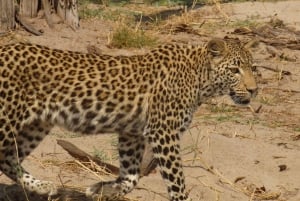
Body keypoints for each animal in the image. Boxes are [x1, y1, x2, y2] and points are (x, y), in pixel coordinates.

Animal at [0, 37, 258, 199]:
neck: (200, 80)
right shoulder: (164, 133)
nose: (254, 90)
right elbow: (176, 181)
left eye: (253, 68)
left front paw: (99, 190)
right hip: (6, 120)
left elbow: (131, 176)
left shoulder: (131, 133)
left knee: (8, 159)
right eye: (234, 70)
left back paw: (43, 187)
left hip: (36, 124)